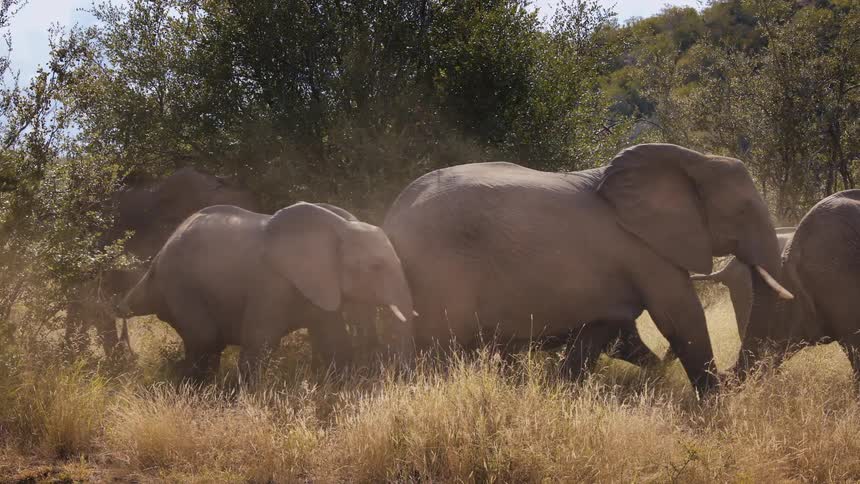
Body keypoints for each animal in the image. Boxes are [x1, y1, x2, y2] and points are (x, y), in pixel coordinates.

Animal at [119, 202, 414, 381]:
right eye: (376, 266)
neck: (337, 228)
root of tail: (157, 259)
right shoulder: (272, 282)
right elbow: (260, 340)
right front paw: (250, 398)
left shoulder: (319, 283)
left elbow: (334, 340)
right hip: (179, 284)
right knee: (205, 338)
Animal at [383, 143, 793, 394]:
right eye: (742, 210)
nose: (732, 374)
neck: (693, 158)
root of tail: (392, 217)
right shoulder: (646, 249)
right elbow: (681, 317)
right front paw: (716, 406)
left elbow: (600, 328)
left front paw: (561, 394)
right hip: (438, 272)